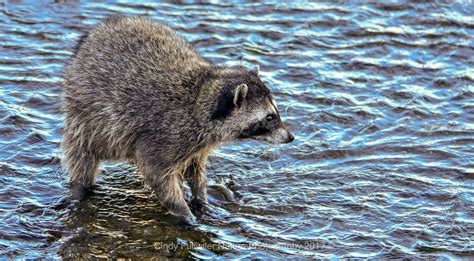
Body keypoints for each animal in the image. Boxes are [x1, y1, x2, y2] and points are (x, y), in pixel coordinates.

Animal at [61, 15, 294, 223]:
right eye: (270, 117)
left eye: (275, 112)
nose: (291, 137)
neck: (201, 97)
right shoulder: (166, 135)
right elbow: (156, 173)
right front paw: (184, 212)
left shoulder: (196, 146)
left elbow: (195, 171)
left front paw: (201, 198)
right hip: (86, 114)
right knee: (82, 153)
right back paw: (80, 187)